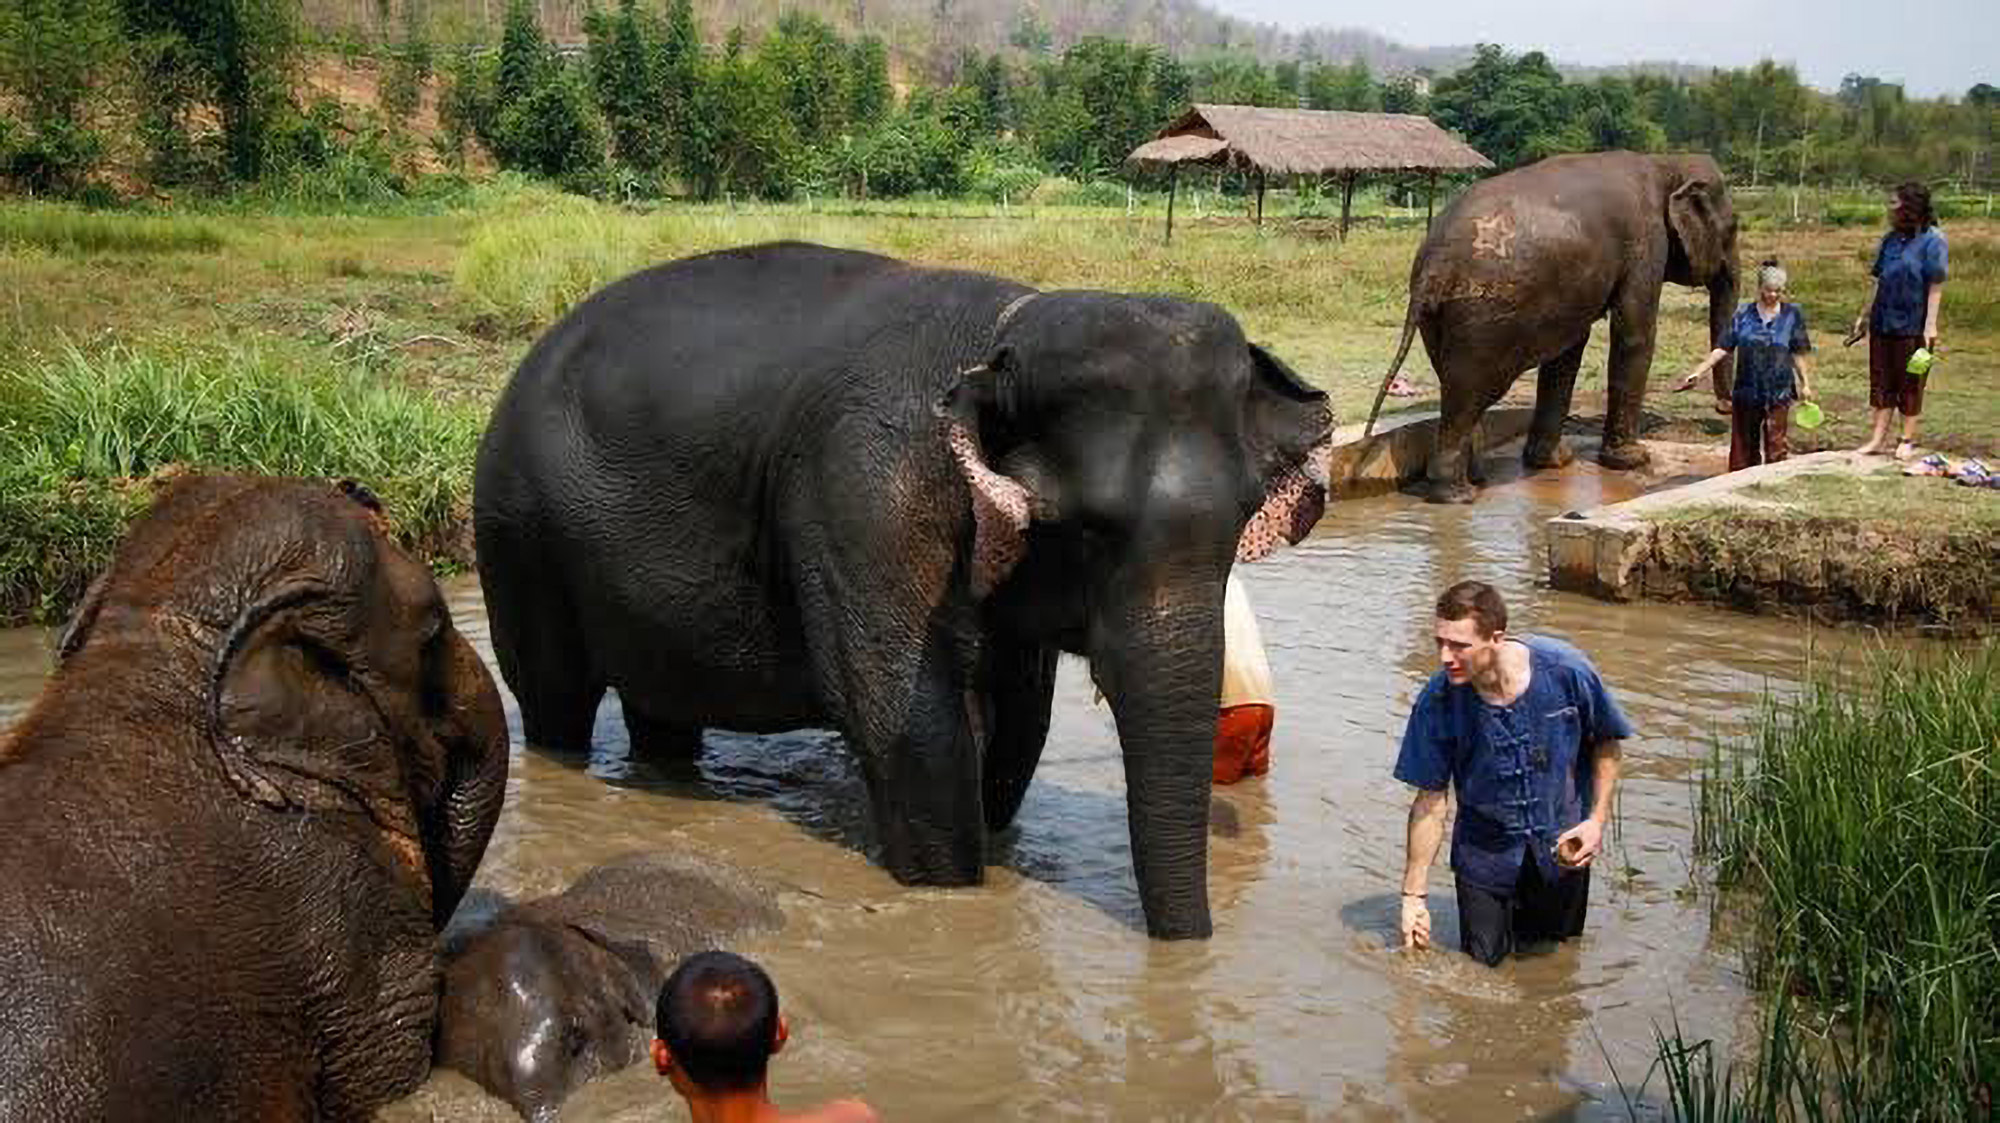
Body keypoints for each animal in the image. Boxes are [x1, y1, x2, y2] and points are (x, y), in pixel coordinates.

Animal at [476, 242, 1336, 935]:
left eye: (1244, 517)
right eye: (1089, 530)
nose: (1189, 954)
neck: (1000, 337)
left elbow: (1020, 722)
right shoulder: (863, 495)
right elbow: (908, 721)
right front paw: (951, 900)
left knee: (662, 707)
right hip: (517, 533)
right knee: (555, 698)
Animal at [1368, 150, 1744, 499]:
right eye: (1733, 228)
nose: (1724, 408)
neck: (1666, 163)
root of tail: (1433, 265)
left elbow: (1568, 350)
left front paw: (1555, 463)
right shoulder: (1646, 242)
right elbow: (1634, 333)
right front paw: (1633, 460)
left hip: (1440, 318)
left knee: (1455, 385)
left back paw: (1477, 478)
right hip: (1482, 319)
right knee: (1471, 392)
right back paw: (1458, 494)